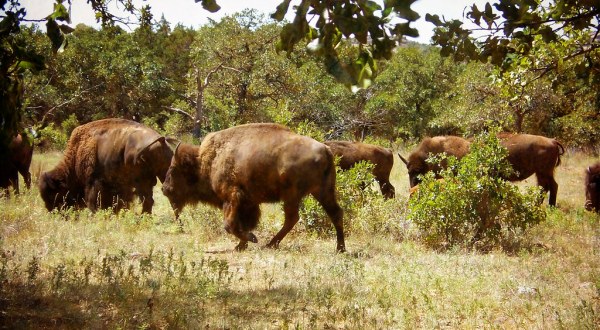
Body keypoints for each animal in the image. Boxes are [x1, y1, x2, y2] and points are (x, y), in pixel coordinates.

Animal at [39, 119, 173, 214]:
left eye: (53, 194)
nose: (53, 212)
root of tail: (160, 139)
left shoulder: (94, 182)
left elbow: (94, 200)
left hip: (141, 180)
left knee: (148, 199)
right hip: (163, 173)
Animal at [162, 124, 344, 253]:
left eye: (173, 169)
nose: (164, 189)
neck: (209, 160)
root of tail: (326, 150)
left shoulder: (232, 197)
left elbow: (230, 224)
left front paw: (251, 239)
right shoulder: (248, 203)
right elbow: (243, 223)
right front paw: (241, 245)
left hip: (293, 195)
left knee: (292, 218)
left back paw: (270, 244)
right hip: (322, 192)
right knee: (335, 213)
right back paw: (340, 248)